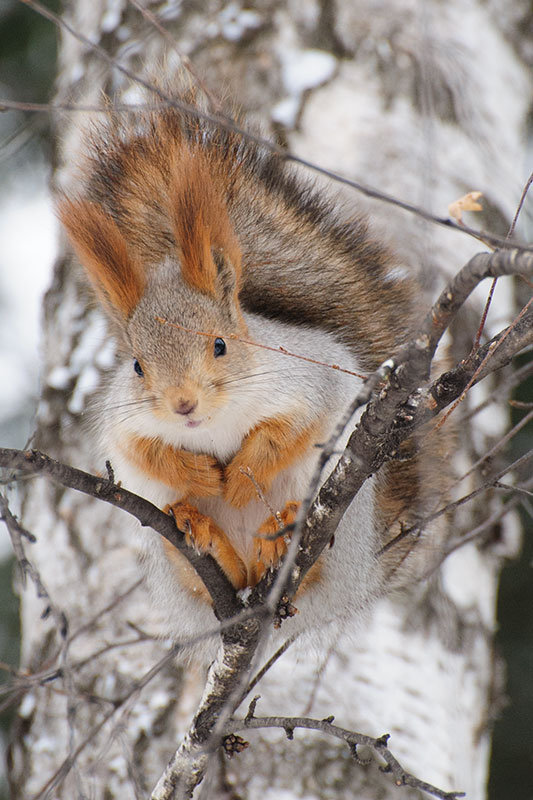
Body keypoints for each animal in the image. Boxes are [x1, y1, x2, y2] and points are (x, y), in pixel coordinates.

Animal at [57, 90, 448, 648]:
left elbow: (288, 430)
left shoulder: (312, 384)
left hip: (340, 521)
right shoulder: (123, 422)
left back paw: (279, 534)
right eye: (136, 365)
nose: (183, 405)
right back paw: (201, 533)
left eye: (220, 345)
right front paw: (197, 473)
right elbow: (143, 451)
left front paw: (240, 478)